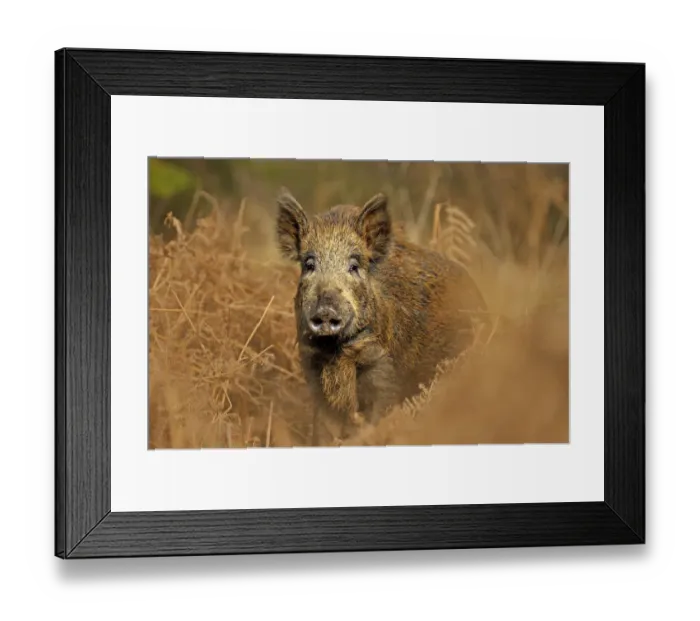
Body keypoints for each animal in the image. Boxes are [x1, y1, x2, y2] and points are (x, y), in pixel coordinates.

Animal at [276, 189, 488, 445]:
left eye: (354, 265)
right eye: (309, 264)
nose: (326, 310)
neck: (337, 351)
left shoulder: (383, 367)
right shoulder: (312, 366)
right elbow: (323, 429)